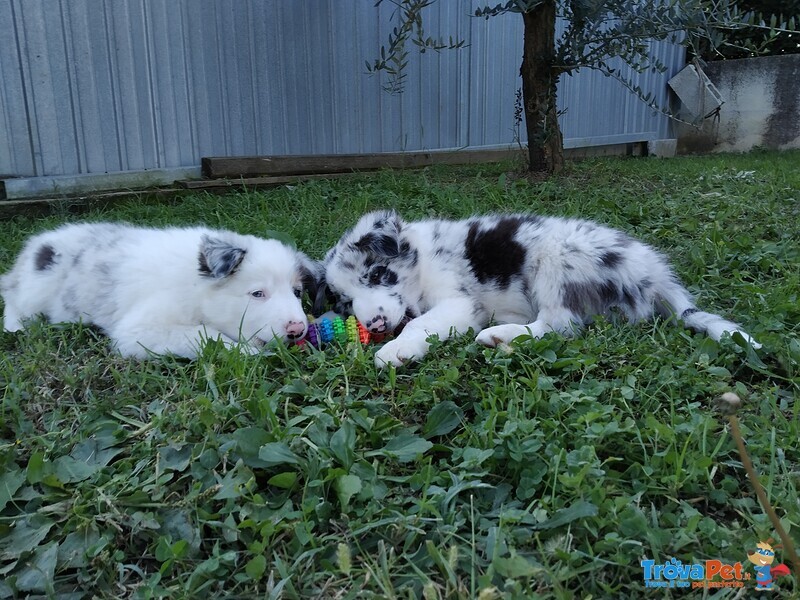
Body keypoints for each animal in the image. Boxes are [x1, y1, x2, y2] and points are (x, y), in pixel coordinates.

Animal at [3, 223, 322, 358]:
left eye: (296, 292)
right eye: (257, 294)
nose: (297, 329)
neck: (196, 287)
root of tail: (37, 244)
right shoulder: (139, 330)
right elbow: (204, 334)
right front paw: (244, 350)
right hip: (35, 288)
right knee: (10, 293)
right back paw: (15, 326)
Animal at [320, 209, 764, 368]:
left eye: (378, 274)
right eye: (345, 302)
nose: (375, 325)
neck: (424, 262)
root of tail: (656, 278)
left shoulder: (459, 301)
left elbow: (420, 323)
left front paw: (395, 351)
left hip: (556, 258)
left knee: (559, 325)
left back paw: (498, 335)